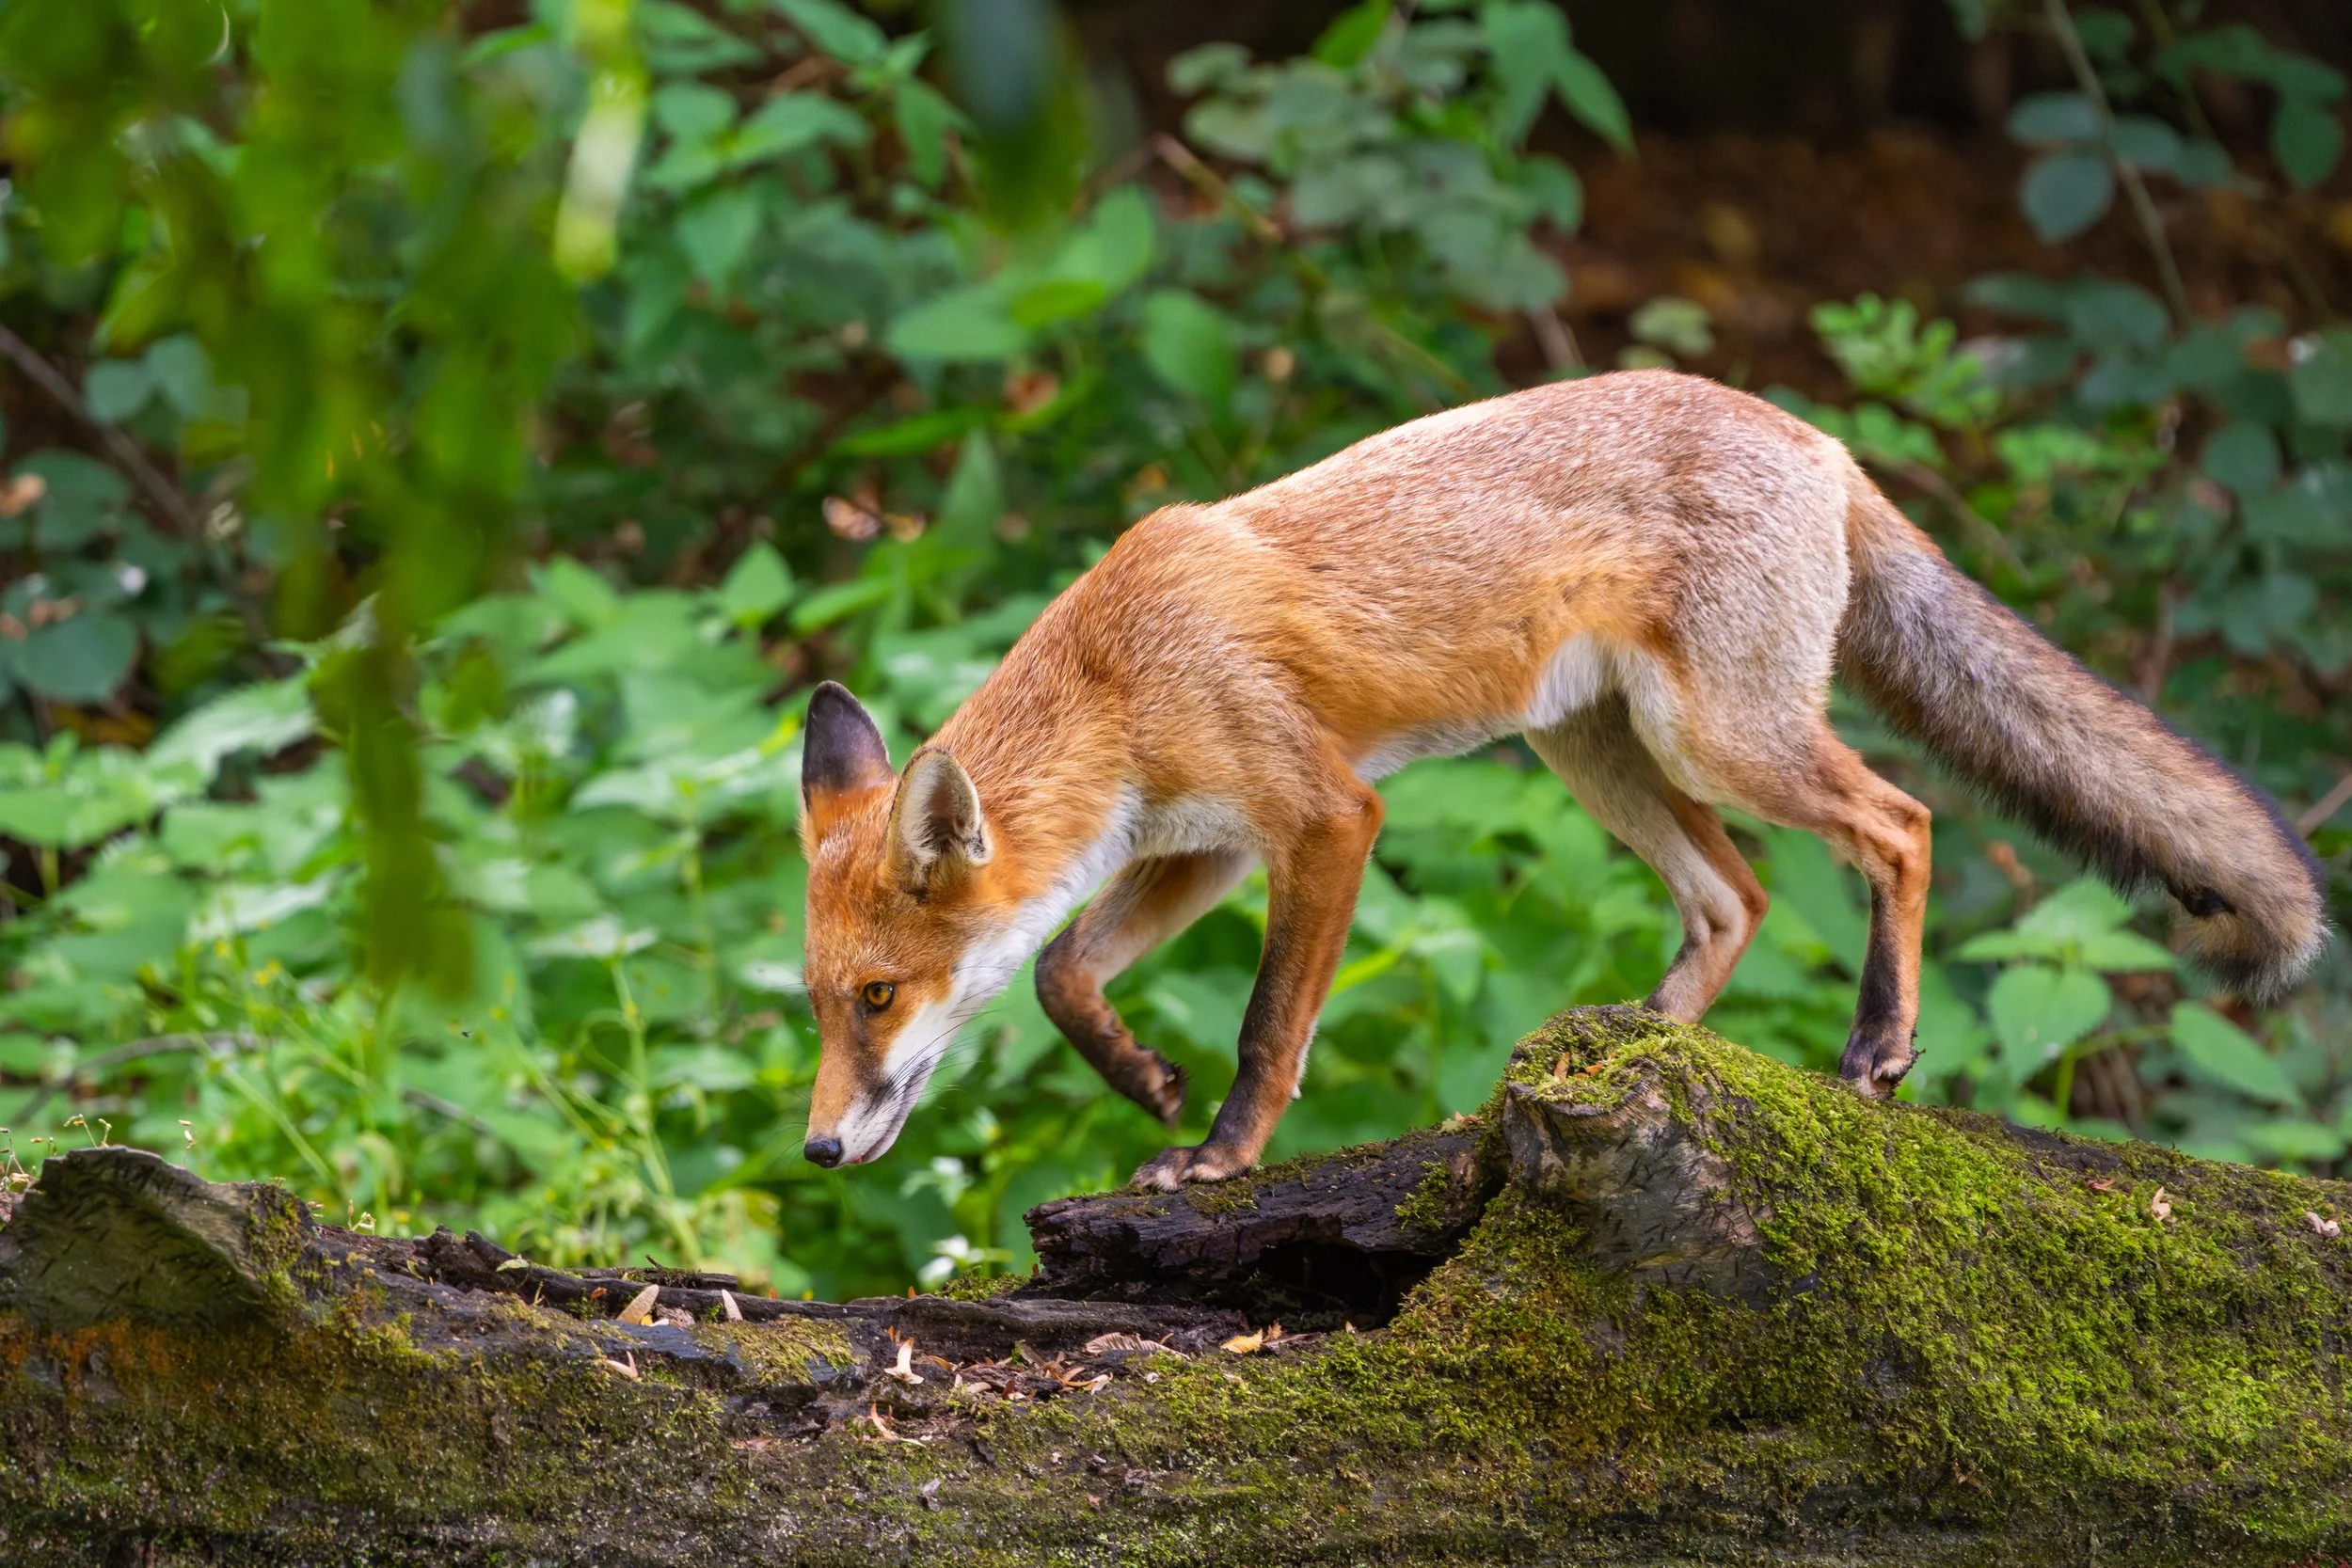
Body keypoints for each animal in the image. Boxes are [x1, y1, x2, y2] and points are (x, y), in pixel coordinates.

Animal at [795, 370, 2328, 1189]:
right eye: (820, 1003)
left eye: (876, 996)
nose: (812, 1150)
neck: (1120, 677)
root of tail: (1815, 435)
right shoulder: (1206, 841)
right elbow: (1065, 973)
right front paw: (1141, 1078)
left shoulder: (1325, 817)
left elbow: (1268, 1026)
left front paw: (1219, 1153)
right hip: (1597, 751)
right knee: (1736, 899)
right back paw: (1632, 1055)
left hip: (1720, 738)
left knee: (1899, 821)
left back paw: (1871, 1048)